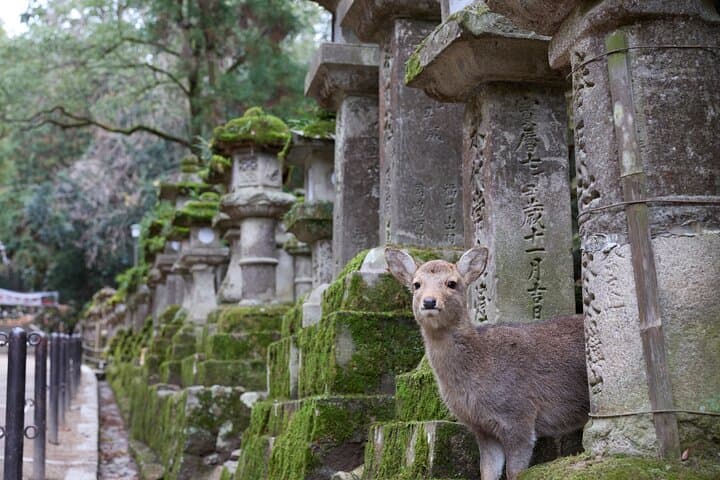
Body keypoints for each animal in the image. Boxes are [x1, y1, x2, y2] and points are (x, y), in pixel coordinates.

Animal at [384, 247, 589, 480]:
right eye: (416, 284)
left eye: (452, 283)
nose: (429, 301)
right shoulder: (482, 428)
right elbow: (487, 470)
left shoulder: (519, 415)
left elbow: (515, 471)